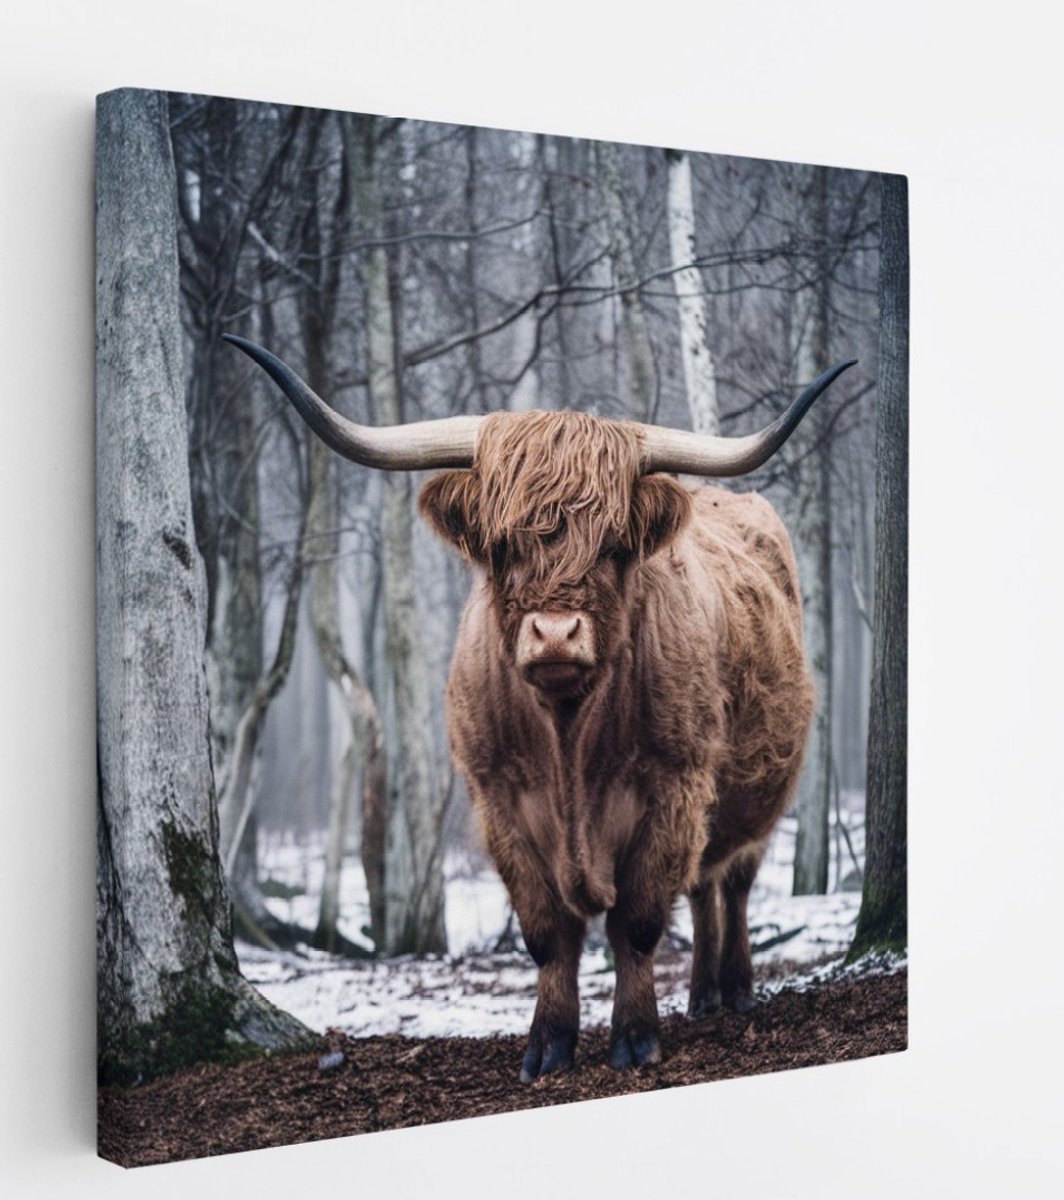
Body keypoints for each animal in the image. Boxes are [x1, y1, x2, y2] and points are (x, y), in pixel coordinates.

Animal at [224, 333, 855, 1079]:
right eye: (501, 546)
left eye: (614, 546)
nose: (555, 634)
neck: (568, 738)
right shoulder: (501, 802)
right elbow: (548, 932)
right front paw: (548, 1044)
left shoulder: (673, 787)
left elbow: (637, 921)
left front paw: (634, 1037)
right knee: (704, 886)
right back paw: (702, 994)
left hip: (758, 794)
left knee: (730, 882)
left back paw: (734, 989)